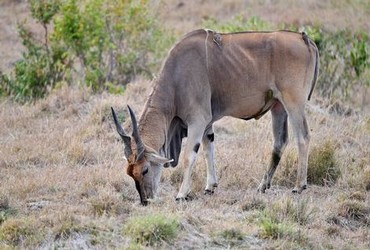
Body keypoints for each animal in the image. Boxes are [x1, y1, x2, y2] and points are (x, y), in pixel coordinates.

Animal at [111, 28, 320, 205]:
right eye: (130, 173)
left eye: (145, 169)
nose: (145, 200)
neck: (177, 76)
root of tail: (304, 38)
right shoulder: (207, 124)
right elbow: (208, 148)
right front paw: (210, 186)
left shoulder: (198, 120)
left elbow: (189, 155)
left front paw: (181, 194)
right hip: (278, 107)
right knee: (279, 143)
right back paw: (262, 186)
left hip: (294, 104)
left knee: (303, 137)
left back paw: (298, 186)